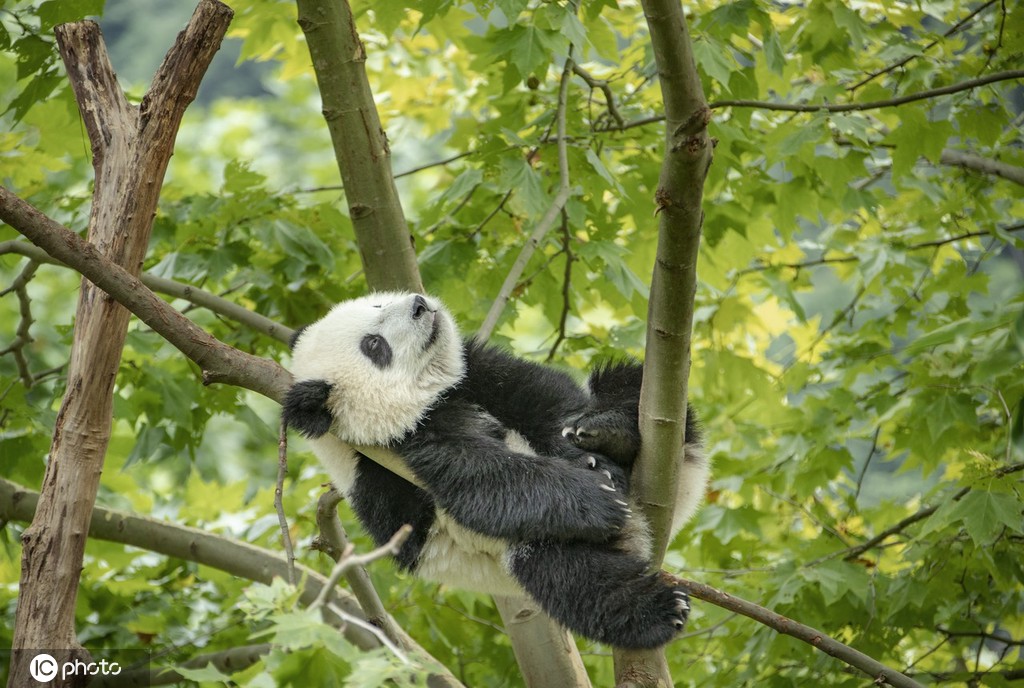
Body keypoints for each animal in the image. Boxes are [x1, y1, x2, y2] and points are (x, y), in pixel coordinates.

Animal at [284, 290, 708, 651]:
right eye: (374, 346)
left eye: (375, 305)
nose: (419, 305)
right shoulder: (392, 456)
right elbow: (480, 482)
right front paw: (594, 497)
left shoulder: (473, 372)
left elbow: (540, 397)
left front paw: (590, 453)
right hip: (527, 551)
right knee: (570, 577)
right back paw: (660, 610)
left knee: (627, 381)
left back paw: (609, 429)